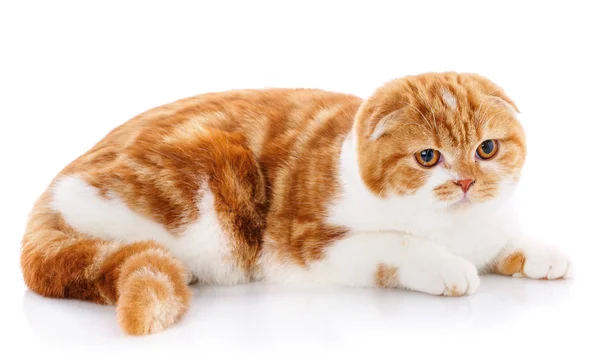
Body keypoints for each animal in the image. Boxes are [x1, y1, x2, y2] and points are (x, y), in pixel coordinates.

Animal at [19, 72, 572, 336]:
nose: (464, 183)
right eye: (427, 157)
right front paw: (447, 267)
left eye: (487, 149)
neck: (453, 226)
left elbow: (506, 235)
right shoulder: (305, 245)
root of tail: (51, 188)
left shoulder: (491, 221)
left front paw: (544, 254)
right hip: (211, 184)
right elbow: (396, 244)